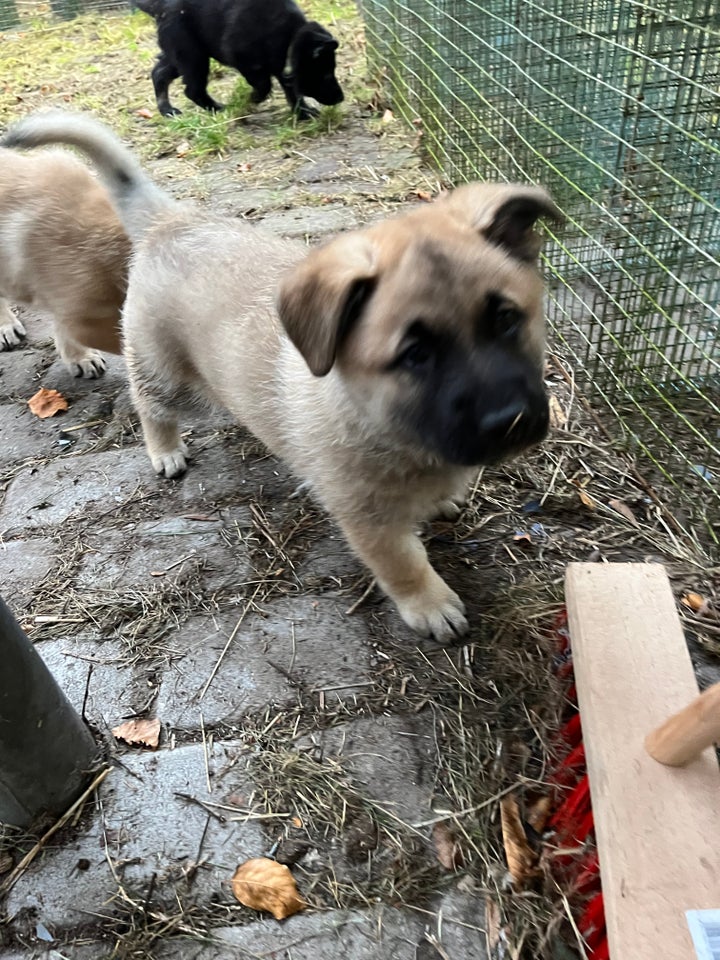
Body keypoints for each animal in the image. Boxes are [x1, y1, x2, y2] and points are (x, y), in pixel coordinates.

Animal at [139, 0, 346, 120]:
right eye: (326, 75)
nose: (341, 98)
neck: (289, 35)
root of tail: (159, 7)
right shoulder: (243, 58)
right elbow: (264, 84)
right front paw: (252, 98)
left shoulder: (280, 64)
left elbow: (292, 91)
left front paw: (303, 113)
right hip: (192, 54)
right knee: (193, 89)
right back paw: (218, 109)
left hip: (182, 53)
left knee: (159, 73)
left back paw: (167, 110)